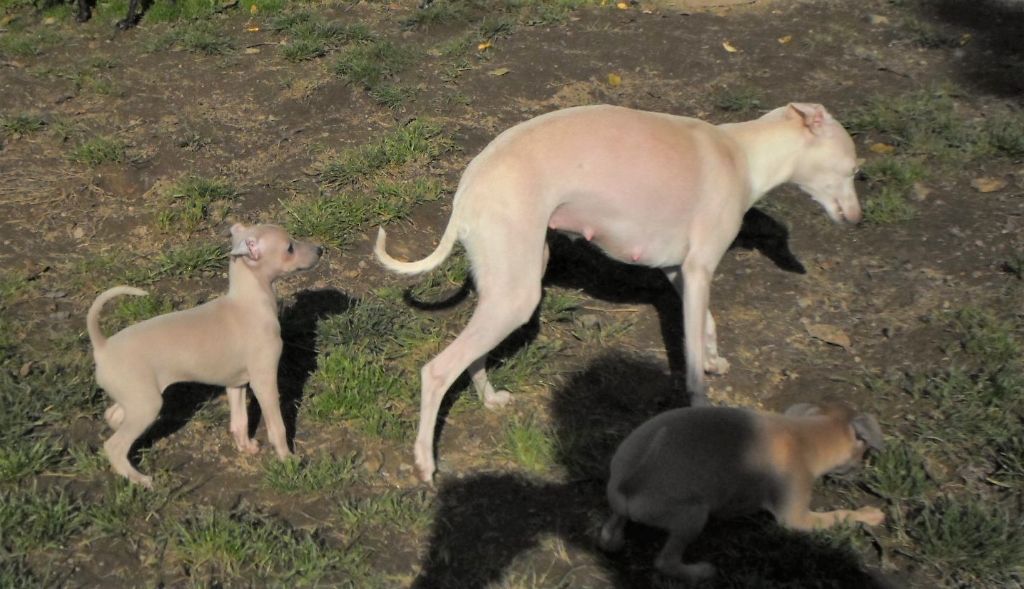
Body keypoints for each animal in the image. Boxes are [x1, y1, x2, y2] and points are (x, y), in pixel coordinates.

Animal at [87, 223, 323, 487]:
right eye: (289, 248)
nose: (320, 250)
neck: (249, 303)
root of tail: (102, 347)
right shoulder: (264, 382)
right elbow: (277, 426)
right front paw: (288, 459)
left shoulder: (236, 384)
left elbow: (239, 421)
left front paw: (246, 447)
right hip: (146, 404)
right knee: (114, 446)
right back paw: (140, 479)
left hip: (137, 398)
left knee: (113, 415)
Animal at [374, 103, 862, 482]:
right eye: (855, 168)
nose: (858, 219)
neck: (739, 154)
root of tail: (467, 187)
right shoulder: (698, 270)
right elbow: (691, 364)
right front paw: (702, 402)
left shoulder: (680, 272)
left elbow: (707, 322)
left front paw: (715, 358)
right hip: (517, 296)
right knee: (437, 371)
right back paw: (425, 463)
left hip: (507, 284)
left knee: (471, 354)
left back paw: (490, 398)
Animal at [599, 402, 885, 583]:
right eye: (862, 454)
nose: (860, 472)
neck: (806, 435)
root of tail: (627, 484)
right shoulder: (795, 518)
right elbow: (840, 514)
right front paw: (870, 514)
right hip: (693, 515)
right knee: (665, 562)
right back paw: (699, 573)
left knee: (612, 528)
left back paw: (614, 536)